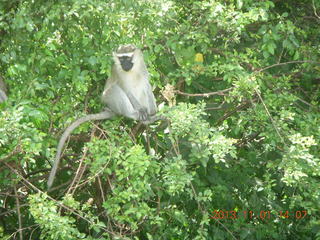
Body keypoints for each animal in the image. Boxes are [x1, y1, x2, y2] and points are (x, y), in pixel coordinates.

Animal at [47, 44, 160, 188]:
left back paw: (148, 113)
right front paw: (140, 111)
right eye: (121, 59)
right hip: (109, 100)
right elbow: (126, 90)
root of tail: (110, 109)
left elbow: (146, 84)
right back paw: (135, 114)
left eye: (127, 58)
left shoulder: (142, 66)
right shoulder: (118, 72)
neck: (131, 71)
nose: (124, 65)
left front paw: (153, 111)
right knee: (114, 89)